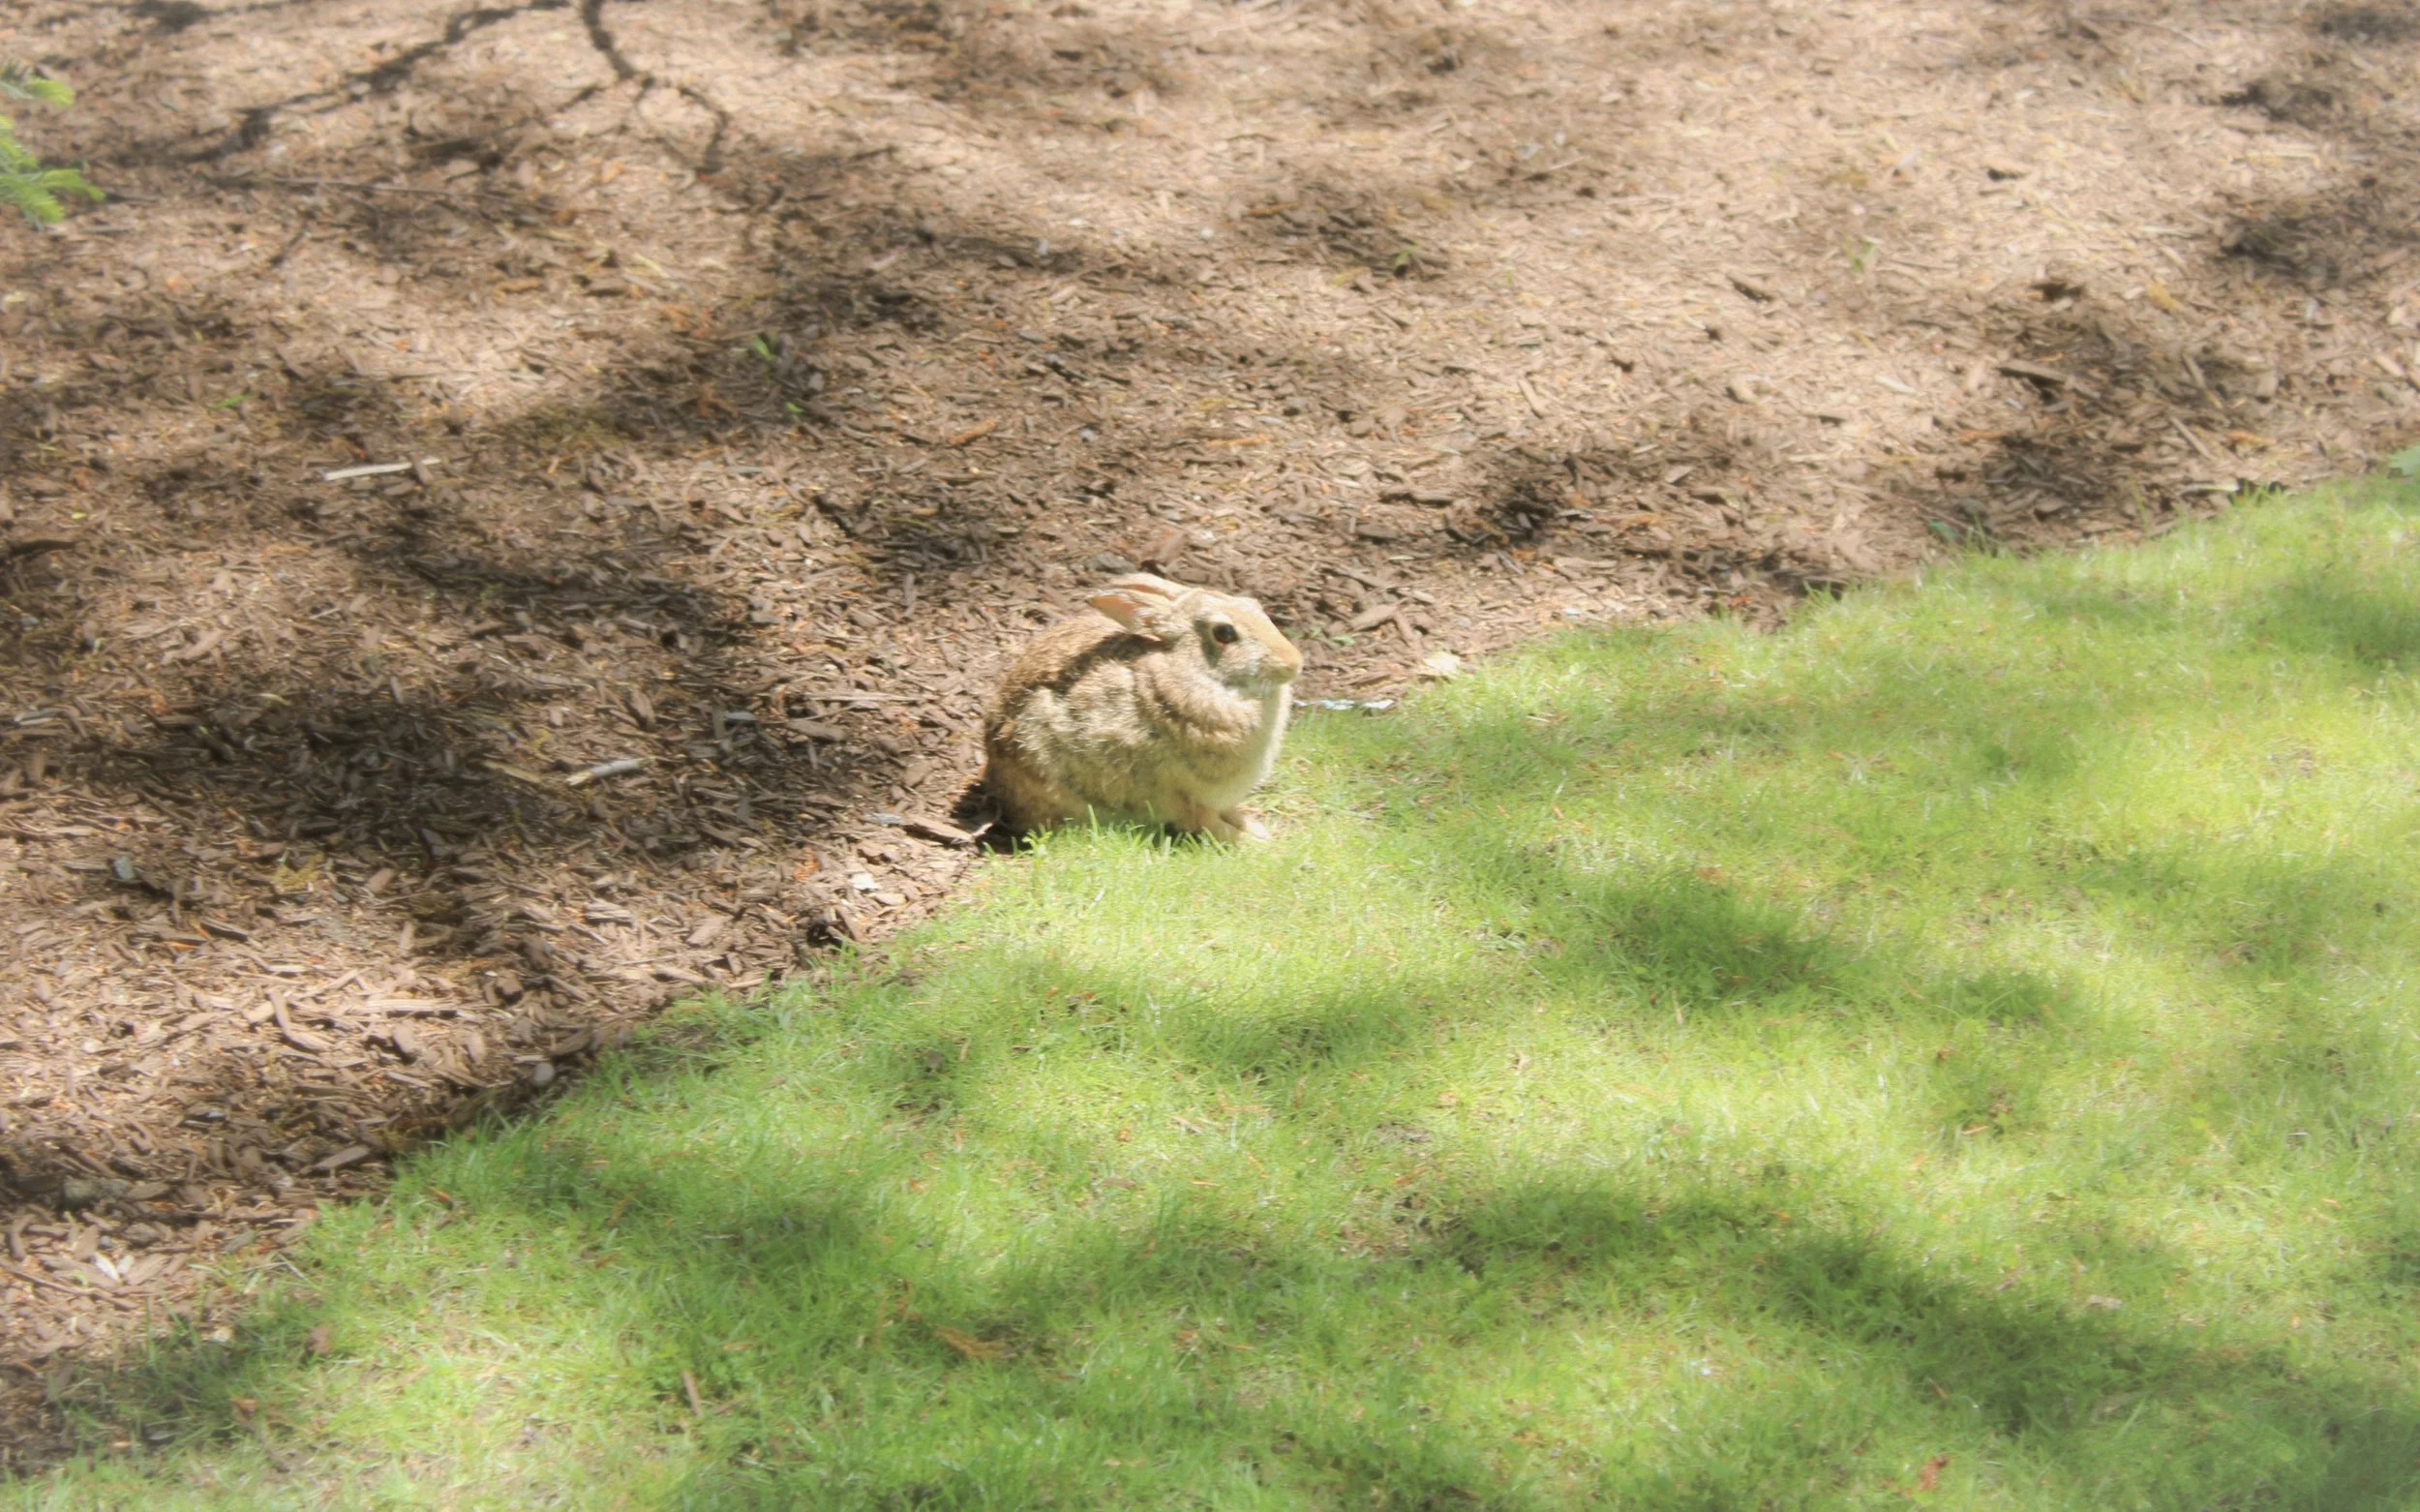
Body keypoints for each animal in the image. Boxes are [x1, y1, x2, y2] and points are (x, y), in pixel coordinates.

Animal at [983, 573, 1304, 842]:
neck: (1199, 672)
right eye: (1224, 632)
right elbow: (1207, 822)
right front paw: (1254, 842)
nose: (1294, 662)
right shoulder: (1185, 794)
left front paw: (1255, 828)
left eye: (1254, 605)